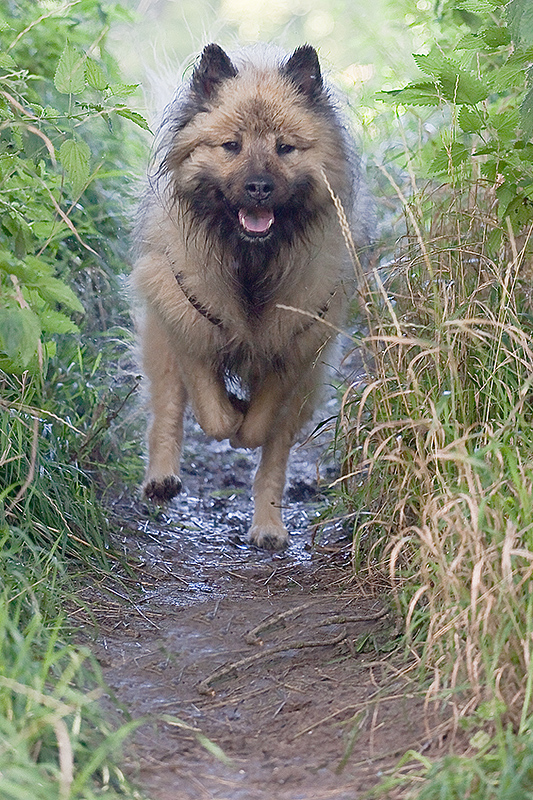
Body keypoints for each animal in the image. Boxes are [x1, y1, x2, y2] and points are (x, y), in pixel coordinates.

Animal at [132, 42, 372, 552]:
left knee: (275, 455)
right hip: (162, 333)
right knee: (167, 406)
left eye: (285, 147)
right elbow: (211, 413)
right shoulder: (189, 320)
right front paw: (228, 409)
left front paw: (247, 417)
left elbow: (259, 428)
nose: (259, 187)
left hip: (308, 381)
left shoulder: (294, 344)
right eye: (232, 146)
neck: (251, 261)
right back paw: (161, 479)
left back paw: (268, 525)